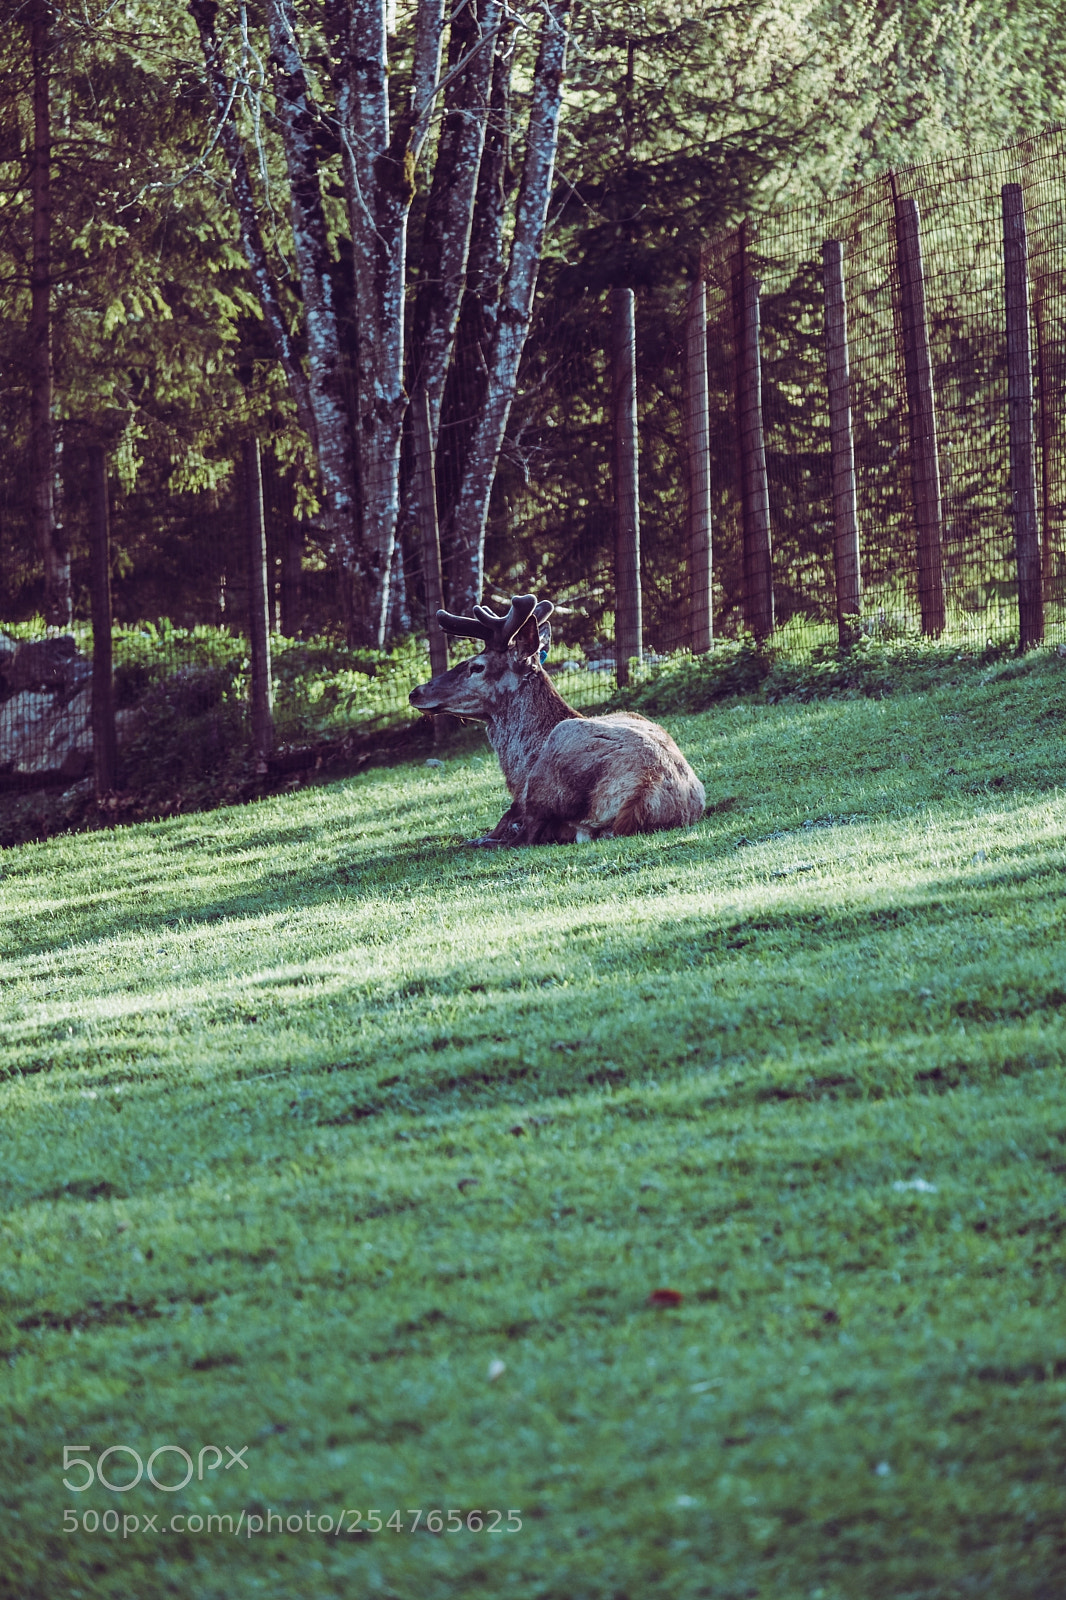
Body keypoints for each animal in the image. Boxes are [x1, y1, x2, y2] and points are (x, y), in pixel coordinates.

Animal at [409, 593, 706, 846]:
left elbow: (504, 823)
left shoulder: (523, 797)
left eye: (476, 666)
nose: (416, 692)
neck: (519, 765)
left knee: (523, 837)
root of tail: (644, 792)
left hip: (550, 775)